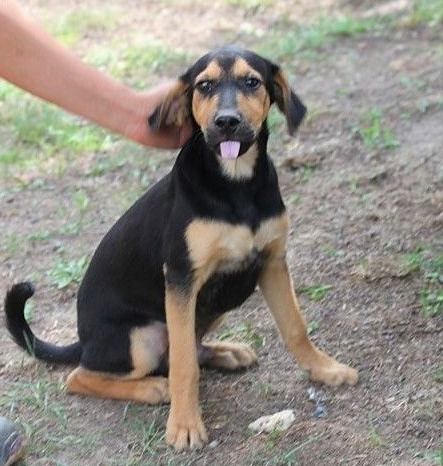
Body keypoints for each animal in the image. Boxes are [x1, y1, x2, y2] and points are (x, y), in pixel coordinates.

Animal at [3, 45, 360, 450]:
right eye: (204, 86)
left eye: (252, 82)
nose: (226, 122)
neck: (236, 185)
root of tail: (84, 341)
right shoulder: (181, 278)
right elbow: (184, 365)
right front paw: (185, 425)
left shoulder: (271, 262)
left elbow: (296, 327)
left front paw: (325, 369)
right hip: (139, 338)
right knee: (82, 375)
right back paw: (152, 388)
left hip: (217, 300)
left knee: (183, 346)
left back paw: (226, 352)